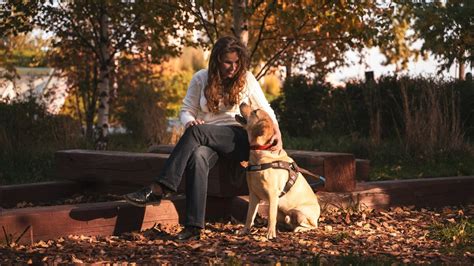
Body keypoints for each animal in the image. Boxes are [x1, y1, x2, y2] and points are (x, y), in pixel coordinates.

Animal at [235, 102, 320, 239]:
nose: (242, 102)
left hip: (298, 212)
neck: (261, 153)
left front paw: (270, 233)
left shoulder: (273, 195)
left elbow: (271, 216)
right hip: (282, 213)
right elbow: (249, 216)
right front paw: (245, 231)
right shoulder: (253, 195)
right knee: (286, 221)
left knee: (312, 225)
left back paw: (299, 229)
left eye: (255, 111)